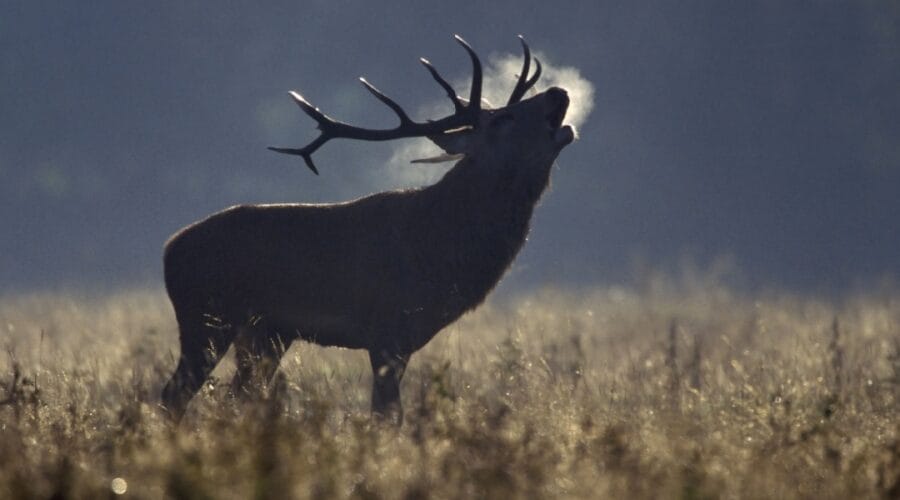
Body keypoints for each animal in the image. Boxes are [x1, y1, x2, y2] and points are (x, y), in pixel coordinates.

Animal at [160, 35, 576, 423]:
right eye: (502, 119)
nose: (558, 92)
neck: (442, 250)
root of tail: (168, 249)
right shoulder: (388, 330)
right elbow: (386, 416)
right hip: (207, 317)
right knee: (173, 395)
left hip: (266, 334)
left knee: (238, 397)